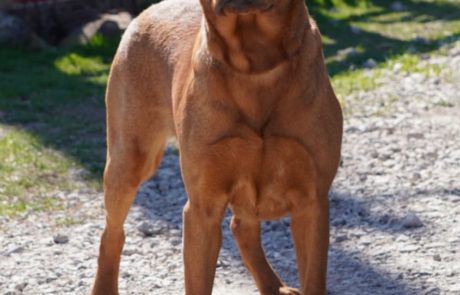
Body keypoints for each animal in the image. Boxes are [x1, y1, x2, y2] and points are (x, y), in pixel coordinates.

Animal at [91, 0, 342, 294]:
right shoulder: (203, 208)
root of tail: (149, 10)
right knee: (112, 233)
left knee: (241, 227)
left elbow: (313, 279)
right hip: (128, 161)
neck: (254, 65)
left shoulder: (312, 201)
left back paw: (272, 285)